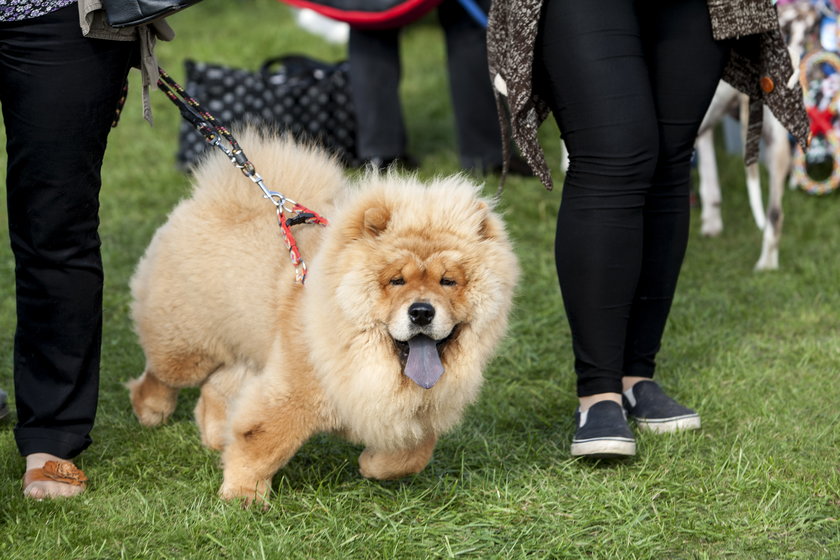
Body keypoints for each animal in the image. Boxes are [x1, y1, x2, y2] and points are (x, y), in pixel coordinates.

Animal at [126, 130, 520, 504]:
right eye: (396, 280)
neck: (366, 357)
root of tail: (214, 197)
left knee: (217, 388)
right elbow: (262, 443)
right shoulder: (290, 393)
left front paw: (373, 465)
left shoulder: (413, 412)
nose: (421, 311)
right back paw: (152, 410)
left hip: (245, 346)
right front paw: (243, 497)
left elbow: (414, 453)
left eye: (448, 281)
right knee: (162, 374)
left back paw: (215, 437)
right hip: (187, 343)